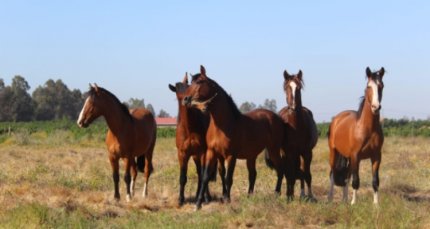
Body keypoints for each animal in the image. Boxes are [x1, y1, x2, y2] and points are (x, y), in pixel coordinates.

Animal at [167, 74, 223, 206]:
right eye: (177, 91)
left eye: (188, 87)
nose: (186, 100)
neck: (189, 128)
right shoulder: (182, 154)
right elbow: (183, 177)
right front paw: (181, 200)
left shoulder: (202, 152)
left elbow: (203, 174)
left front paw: (205, 198)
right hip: (195, 156)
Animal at [182, 65, 288, 210]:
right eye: (191, 82)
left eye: (199, 82)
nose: (186, 99)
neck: (223, 125)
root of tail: (277, 117)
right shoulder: (212, 153)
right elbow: (205, 177)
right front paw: (198, 204)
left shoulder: (231, 156)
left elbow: (228, 178)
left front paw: (227, 199)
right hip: (252, 155)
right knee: (253, 174)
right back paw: (249, 196)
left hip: (273, 150)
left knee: (280, 169)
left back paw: (276, 193)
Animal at [278, 69, 320, 200]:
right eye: (286, 87)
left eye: (299, 87)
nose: (293, 107)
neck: (296, 126)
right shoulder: (289, 152)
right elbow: (290, 174)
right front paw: (289, 196)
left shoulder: (307, 152)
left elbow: (307, 174)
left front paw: (310, 196)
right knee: (289, 173)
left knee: (301, 172)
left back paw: (302, 194)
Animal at [328, 67, 384, 205]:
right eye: (368, 86)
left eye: (381, 86)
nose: (376, 107)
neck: (367, 128)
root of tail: (337, 119)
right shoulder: (355, 156)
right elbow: (356, 180)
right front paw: (354, 203)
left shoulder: (376, 156)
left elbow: (375, 181)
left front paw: (376, 204)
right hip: (334, 153)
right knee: (332, 174)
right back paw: (330, 198)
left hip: (347, 157)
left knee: (346, 177)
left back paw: (344, 199)